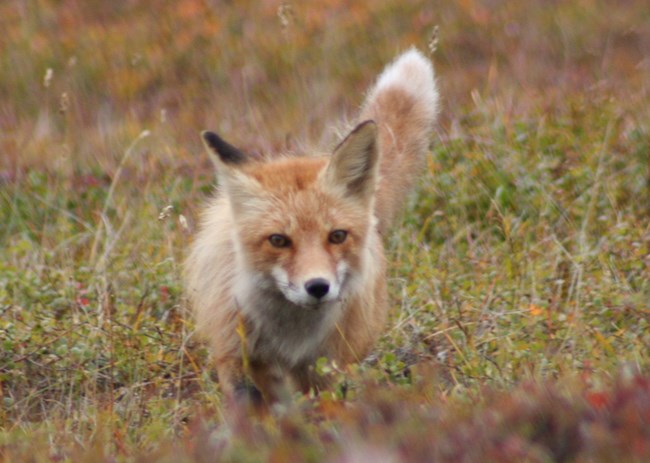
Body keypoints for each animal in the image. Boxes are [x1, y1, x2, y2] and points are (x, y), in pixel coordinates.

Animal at [186, 49, 440, 408]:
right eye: (278, 240)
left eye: (337, 236)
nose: (318, 286)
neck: (290, 337)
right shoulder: (236, 356)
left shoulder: (326, 369)